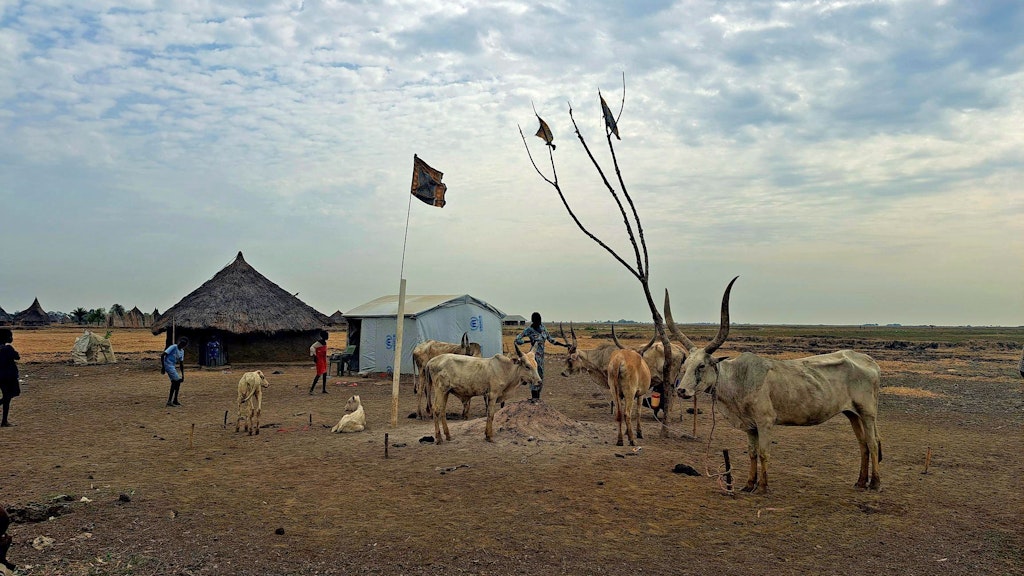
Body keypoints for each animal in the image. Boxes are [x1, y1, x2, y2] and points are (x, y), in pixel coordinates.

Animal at [663, 276, 880, 491]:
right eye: (685, 365)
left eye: (701, 366)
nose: (681, 390)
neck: (739, 379)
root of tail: (870, 362)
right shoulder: (750, 426)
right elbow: (752, 452)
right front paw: (749, 484)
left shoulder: (765, 421)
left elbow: (763, 453)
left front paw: (763, 486)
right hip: (852, 413)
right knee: (863, 444)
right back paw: (860, 482)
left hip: (867, 413)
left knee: (872, 443)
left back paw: (875, 483)